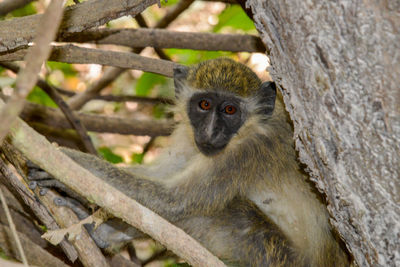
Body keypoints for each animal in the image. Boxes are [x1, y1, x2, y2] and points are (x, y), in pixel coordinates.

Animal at [27, 57, 350, 266]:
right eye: (204, 105)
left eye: (230, 110)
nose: (211, 132)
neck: (250, 127)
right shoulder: (189, 137)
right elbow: (160, 175)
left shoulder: (249, 151)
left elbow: (174, 201)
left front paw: (66, 161)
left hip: (276, 256)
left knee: (218, 212)